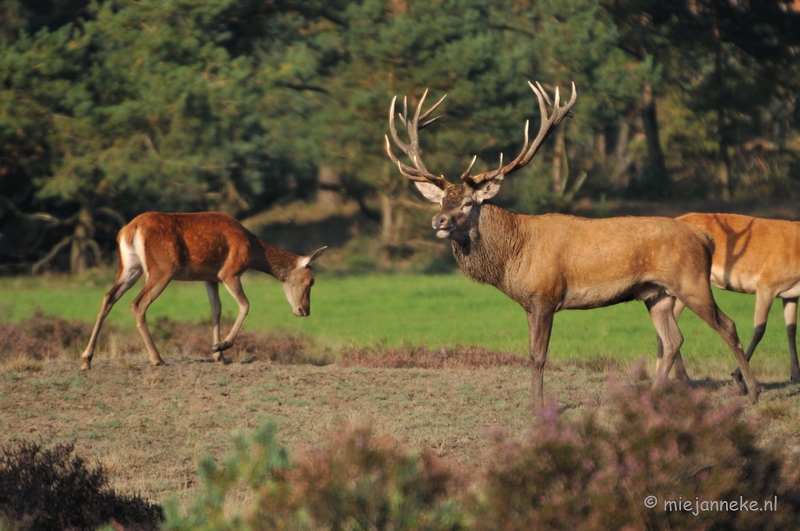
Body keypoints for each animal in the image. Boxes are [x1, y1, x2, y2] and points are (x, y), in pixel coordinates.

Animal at [82, 212, 328, 370]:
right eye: (311, 281)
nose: (304, 310)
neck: (252, 249)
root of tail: (129, 230)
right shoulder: (229, 272)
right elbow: (245, 305)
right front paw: (220, 347)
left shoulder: (210, 278)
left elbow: (216, 310)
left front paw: (219, 356)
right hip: (162, 269)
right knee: (138, 304)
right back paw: (157, 358)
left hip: (129, 267)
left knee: (108, 298)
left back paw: (87, 359)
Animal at [388, 82, 764, 408]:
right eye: (441, 201)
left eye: (467, 203)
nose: (438, 222)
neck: (513, 256)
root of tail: (705, 238)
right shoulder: (529, 304)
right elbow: (531, 354)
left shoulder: (545, 296)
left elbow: (539, 356)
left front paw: (538, 407)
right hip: (655, 293)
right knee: (673, 340)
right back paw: (655, 395)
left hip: (691, 281)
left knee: (727, 325)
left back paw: (753, 391)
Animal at [664, 214, 800, 384]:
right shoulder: (766, 284)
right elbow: (759, 329)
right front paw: (737, 374)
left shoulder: (790, 294)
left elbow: (791, 328)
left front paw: (795, 375)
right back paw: (682, 376)